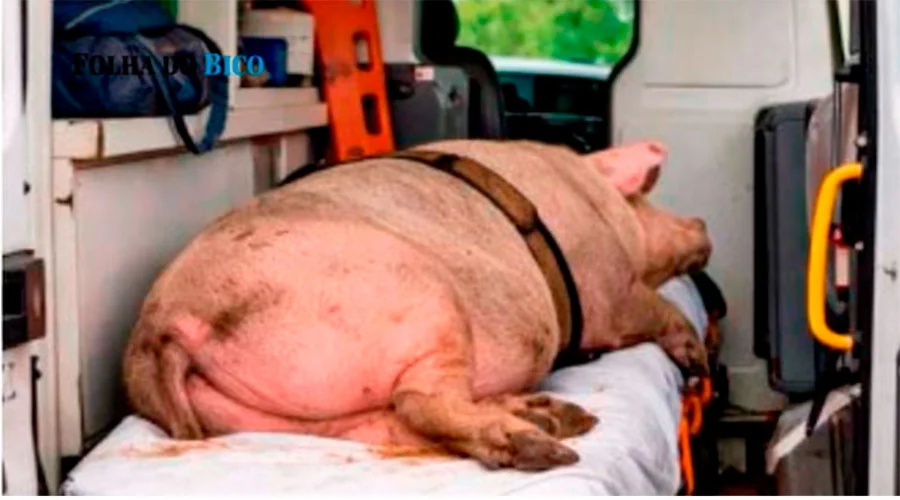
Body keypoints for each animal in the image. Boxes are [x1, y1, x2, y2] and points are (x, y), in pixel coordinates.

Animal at [122, 139, 712, 472]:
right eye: (648, 199)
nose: (701, 224)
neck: (593, 194)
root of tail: (163, 323)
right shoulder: (605, 286)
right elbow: (651, 307)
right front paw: (697, 359)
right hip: (426, 300)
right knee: (420, 402)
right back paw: (545, 444)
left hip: (280, 419)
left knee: (392, 426)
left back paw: (554, 418)